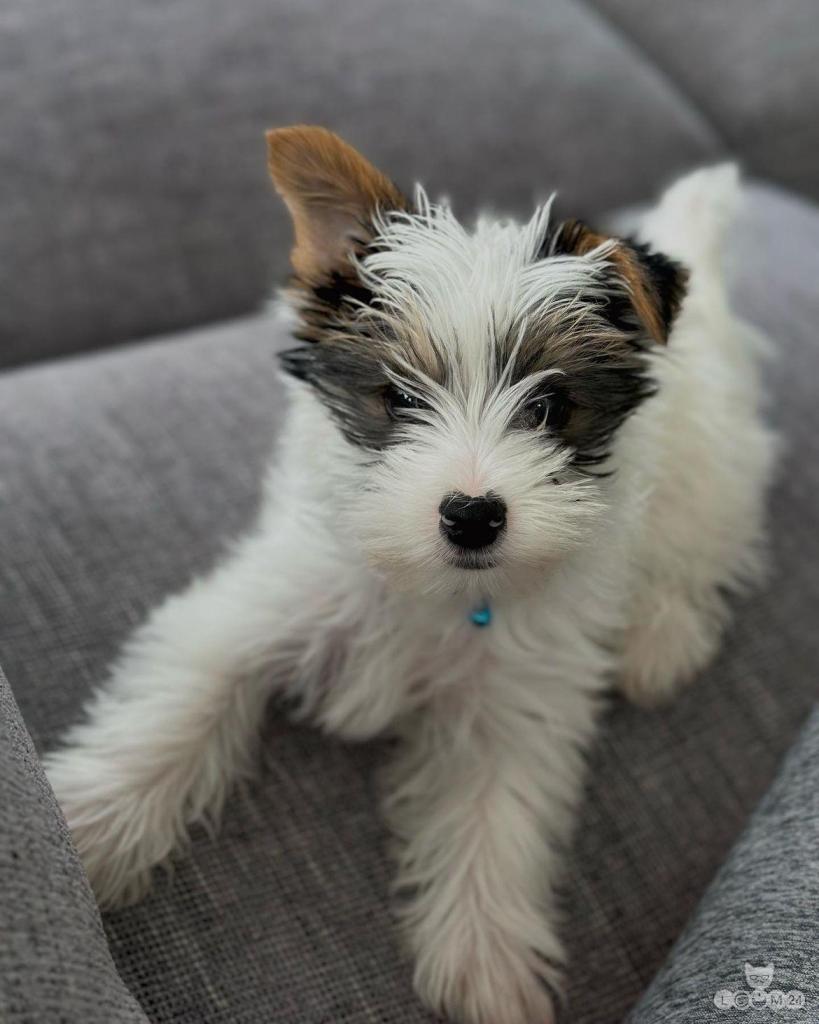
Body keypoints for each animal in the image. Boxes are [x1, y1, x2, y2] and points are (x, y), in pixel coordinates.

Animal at [45, 126, 776, 1024]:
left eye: (546, 408)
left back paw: (659, 640)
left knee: (702, 548)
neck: (433, 586)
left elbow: (494, 821)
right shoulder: (252, 611)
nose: (472, 514)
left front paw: (486, 960)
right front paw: (88, 830)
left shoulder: (515, 708)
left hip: (705, 474)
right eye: (397, 397)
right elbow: (177, 714)